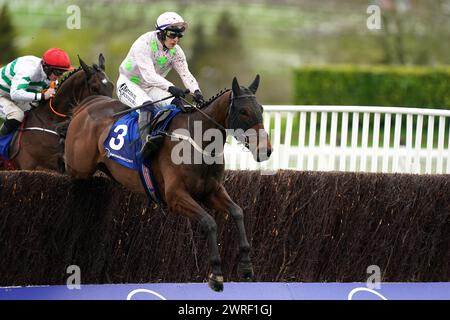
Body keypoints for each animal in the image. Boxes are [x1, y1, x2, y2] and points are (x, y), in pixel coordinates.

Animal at [64, 74, 270, 290]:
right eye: (243, 111)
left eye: (261, 109)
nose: (266, 150)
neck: (198, 141)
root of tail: (88, 104)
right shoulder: (175, 197)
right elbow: (209, 222)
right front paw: (216, 274)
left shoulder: (211, 191)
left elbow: (237, 212)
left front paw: (246, 265)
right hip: (78, 166)